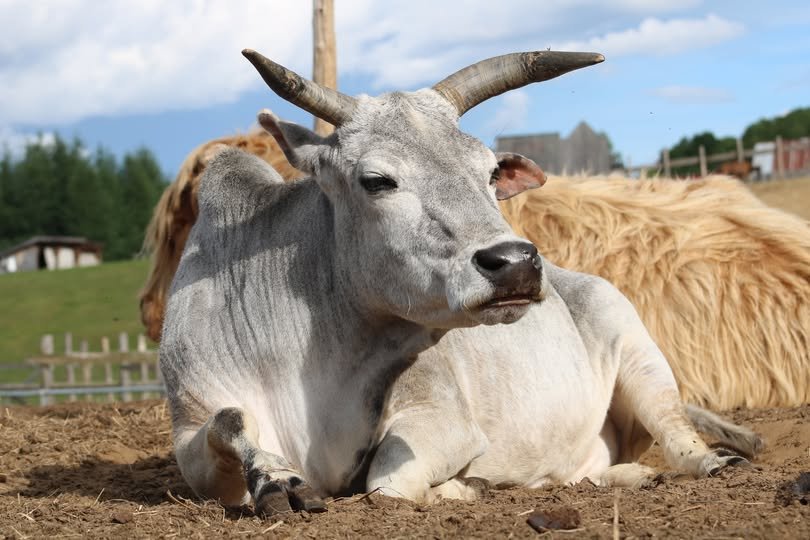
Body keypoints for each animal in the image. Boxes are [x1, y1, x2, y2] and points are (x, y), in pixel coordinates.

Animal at [160, 49, 758, 516]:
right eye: (377, 180)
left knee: (677, 434)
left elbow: (386, 485)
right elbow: (230, 420)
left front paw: (464, 487)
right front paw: (276, 479)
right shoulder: (191, 435)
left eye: (491, 172)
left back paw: (708, 459)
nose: (516, 261)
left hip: (639, 353)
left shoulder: (444, 421)